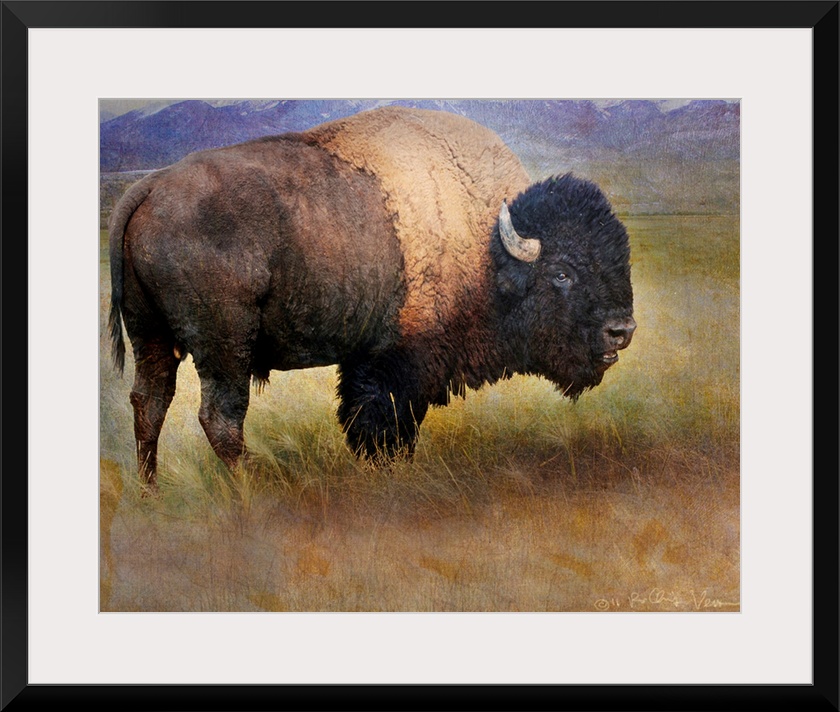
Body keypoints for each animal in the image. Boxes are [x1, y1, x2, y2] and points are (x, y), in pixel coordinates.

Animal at [108, 106, 635, 488]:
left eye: (620, 260)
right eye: (563, 273)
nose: (622, 330)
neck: (487, 245)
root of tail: (149, 187)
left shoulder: (368, 359)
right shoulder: (398, 363)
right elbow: (385, 424)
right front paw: (388, 472)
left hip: (151, 336)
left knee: (149, 404)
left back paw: (150, 492)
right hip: (224, 346)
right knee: (219, 417)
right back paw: (253, 490)